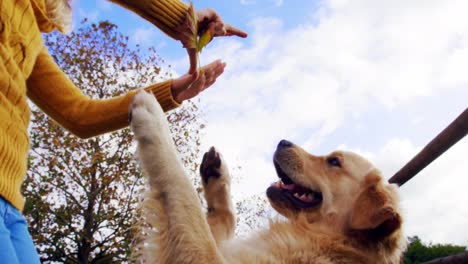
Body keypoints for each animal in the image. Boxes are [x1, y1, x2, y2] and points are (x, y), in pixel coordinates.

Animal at [129, 90, 406, 262]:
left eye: (334, 161)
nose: (282, 142)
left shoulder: (206, 256)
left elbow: (183, 189)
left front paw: (153, 116)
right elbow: (223, 218)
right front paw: (216, 174)